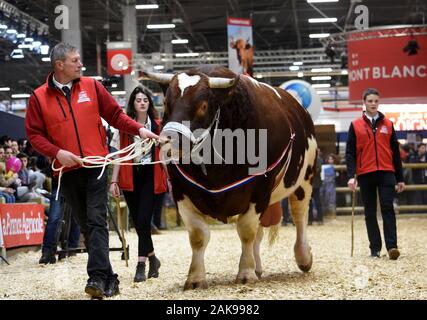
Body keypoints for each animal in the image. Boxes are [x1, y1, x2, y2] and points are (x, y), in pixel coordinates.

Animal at [144, 65, 318, 290]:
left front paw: (246, 273)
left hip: (305, 179)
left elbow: (246, 231)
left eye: (203, 105)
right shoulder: (181, 190)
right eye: (165, 103)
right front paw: (195, 278)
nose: (169, 142)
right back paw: (258, 266)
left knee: (299, 216)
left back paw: (303, 257)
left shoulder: (260, 188)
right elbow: (198, 235)